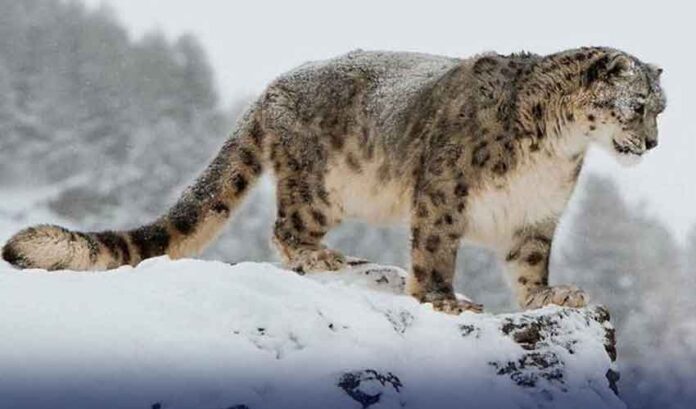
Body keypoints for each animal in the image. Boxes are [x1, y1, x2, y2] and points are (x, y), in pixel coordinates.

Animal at [2, 47, 668, 312]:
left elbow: (530, 265)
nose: (655, 144)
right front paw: (443, 299)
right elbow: (435, 250)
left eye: (662, 106)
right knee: (284, 228)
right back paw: (325, 258)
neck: (558, 151)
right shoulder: (444, 192)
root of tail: (272, 88)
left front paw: (549, 296)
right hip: (319, 185)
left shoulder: (536, 215)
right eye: (638, 105)